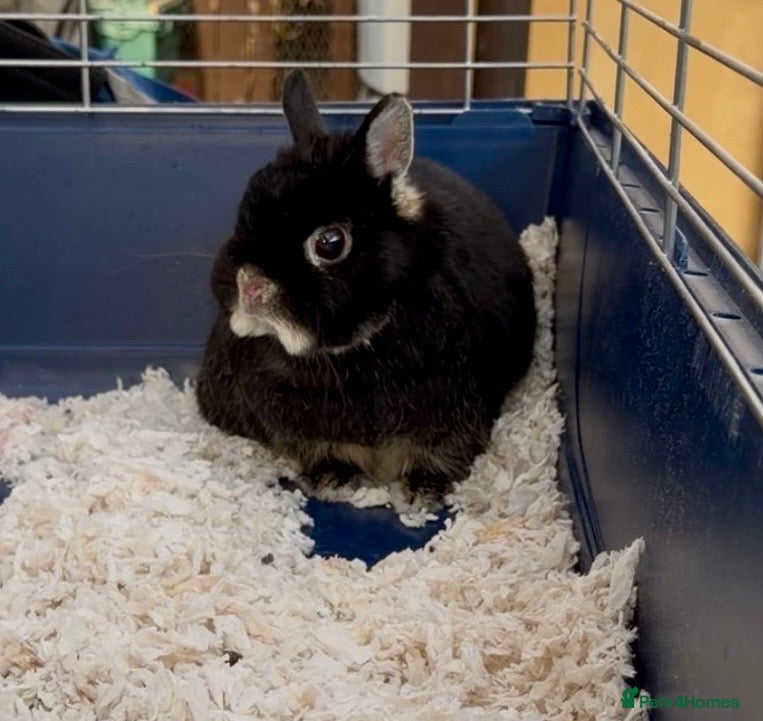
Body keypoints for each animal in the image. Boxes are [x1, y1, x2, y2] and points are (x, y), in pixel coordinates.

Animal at [196, 69, 536, 496]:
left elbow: (442, 453)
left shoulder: (457, 417)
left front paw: (424, 489)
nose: (249, 285)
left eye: (329, 243)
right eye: (244, 211)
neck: (351, 350)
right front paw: (329, 477)